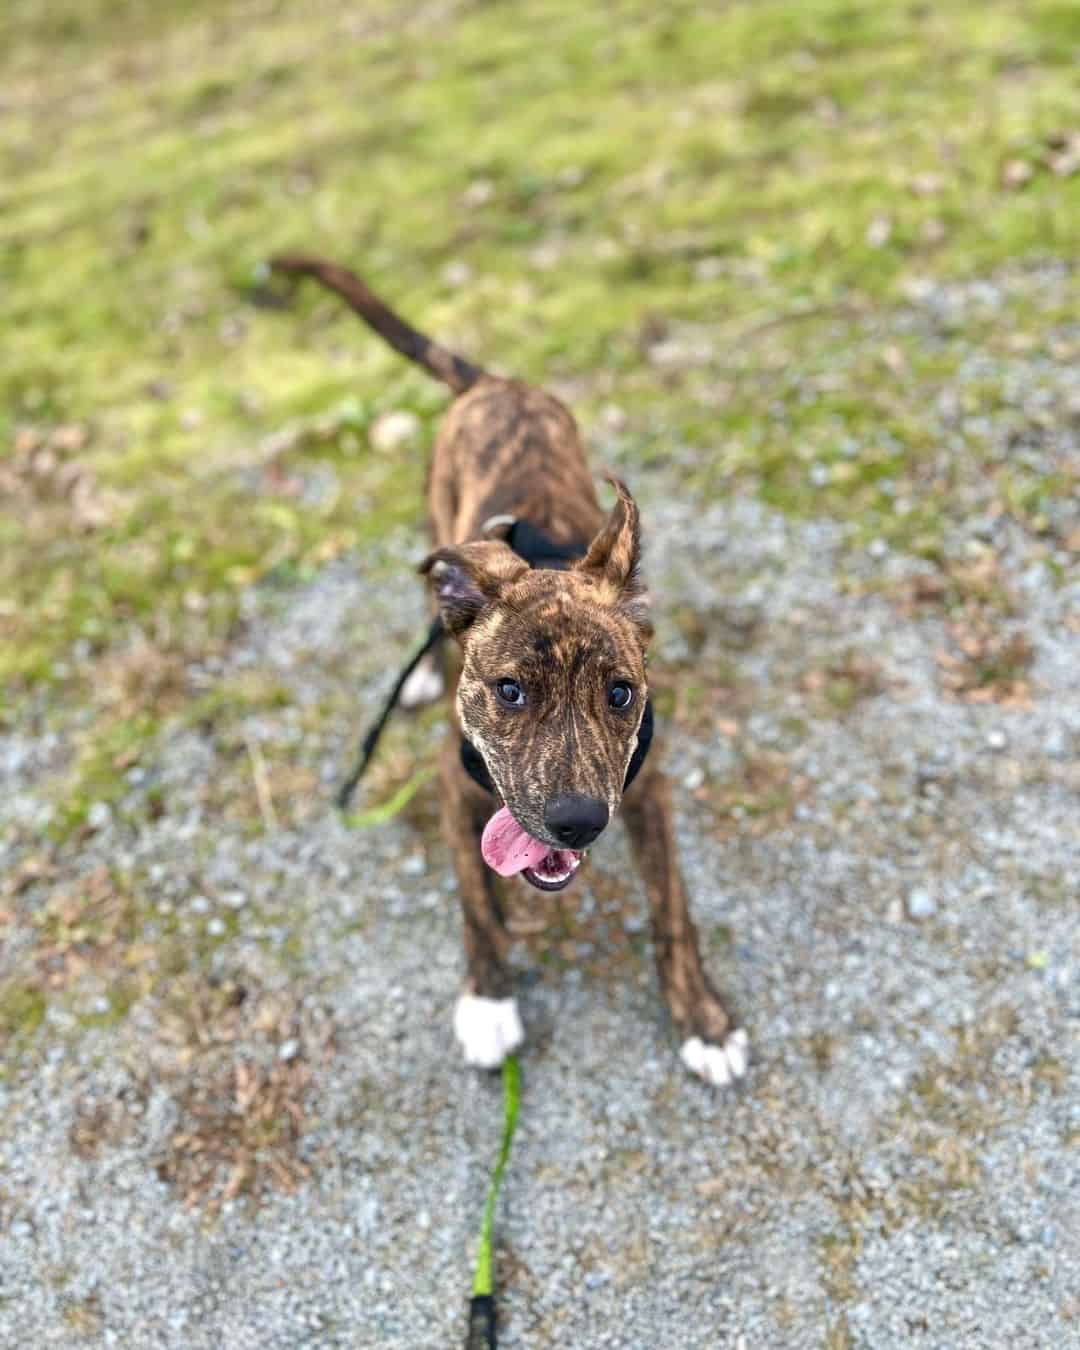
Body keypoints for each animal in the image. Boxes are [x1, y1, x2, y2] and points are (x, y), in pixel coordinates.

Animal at [267, 257, 750, 1090]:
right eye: (510, 692)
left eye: (620, 693)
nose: (578, 823)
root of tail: (495, 383)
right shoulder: (450, 784)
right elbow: (476, 904)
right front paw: (488, 1002)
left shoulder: (645, 787)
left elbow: (672, 909)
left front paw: (703, 1020)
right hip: (437, 522)